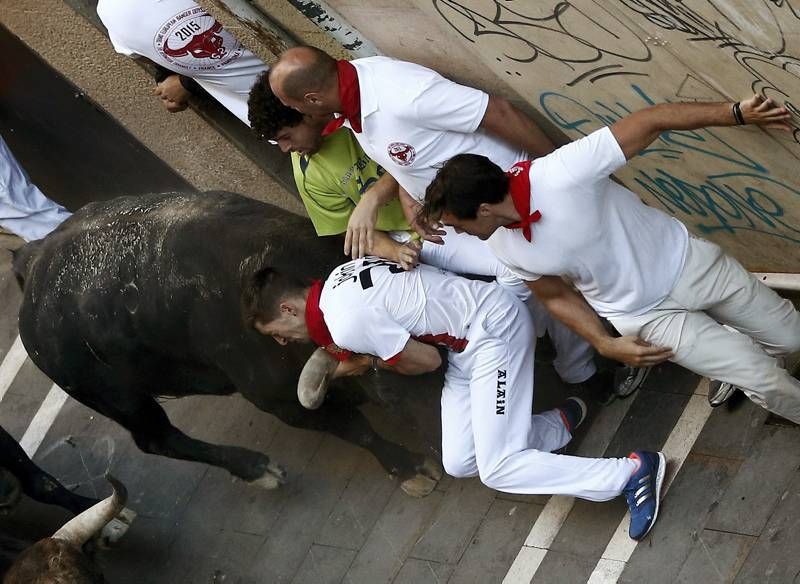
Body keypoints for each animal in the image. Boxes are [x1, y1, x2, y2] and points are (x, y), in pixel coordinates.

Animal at [14, 194, 444, 496]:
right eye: (389, 392)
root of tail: (33, 261)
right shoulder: (280, 402)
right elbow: (357, 429)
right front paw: (411, 469)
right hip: (119, 399)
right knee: (158, 439)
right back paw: (257, 470)